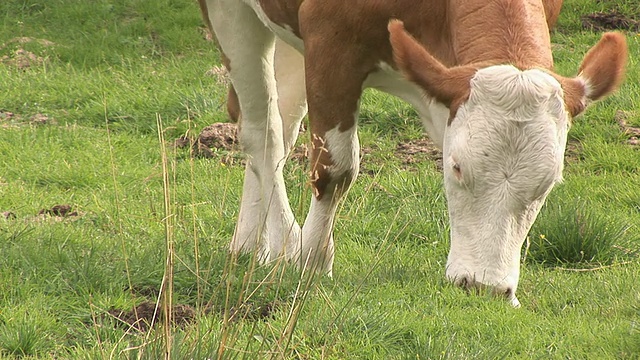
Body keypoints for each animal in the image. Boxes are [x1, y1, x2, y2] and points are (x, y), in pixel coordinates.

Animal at [202, 0, 628, 306]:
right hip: (231, 13)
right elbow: (335, 169)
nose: (484, 287)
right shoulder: (330, 39)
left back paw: (249, 243)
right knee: (262, 130)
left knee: (283, 119)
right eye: (456, 168)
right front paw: (312, 261)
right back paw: (284, 241)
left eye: (548, 183)